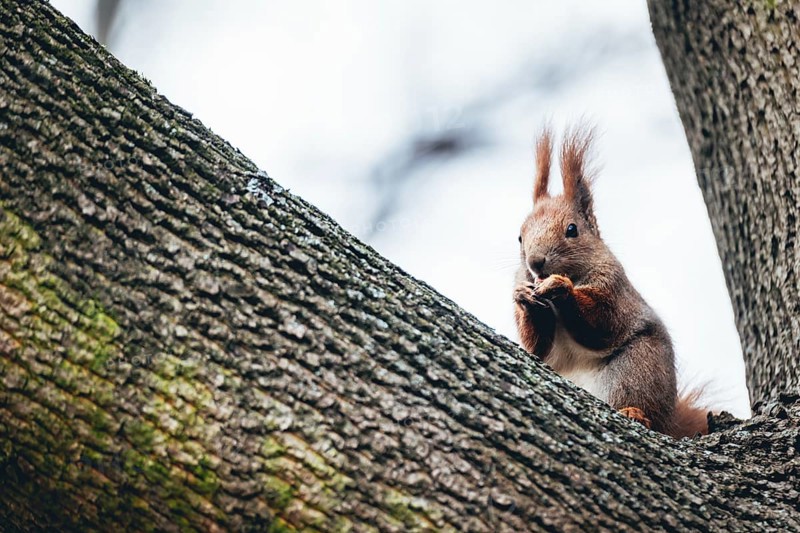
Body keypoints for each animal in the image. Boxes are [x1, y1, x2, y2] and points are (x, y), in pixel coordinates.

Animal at [513, 126, 708, 438]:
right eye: (519, 237)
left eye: (572, 230)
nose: (535, 262)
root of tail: (671, 422)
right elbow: (537, 347)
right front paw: (522, 297)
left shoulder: (614, 288)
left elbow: (604, 321)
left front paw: (560, 287)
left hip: (637, 369)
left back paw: (636, 414)